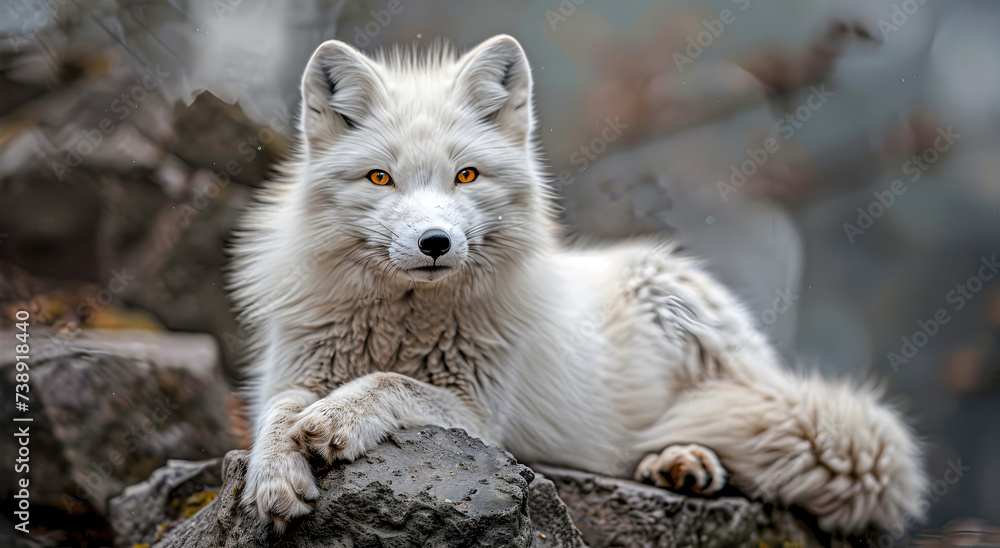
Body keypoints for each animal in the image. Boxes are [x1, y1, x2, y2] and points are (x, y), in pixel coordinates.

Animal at [229, 34, 928, 536]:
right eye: (381, 178)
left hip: (673, 305)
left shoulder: (478, 415)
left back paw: (683, 461)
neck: (402, 322)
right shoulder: (292, 371)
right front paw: (274, 480)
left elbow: (386, 383)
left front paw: (333, 420)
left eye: (466, 176)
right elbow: (276, 416)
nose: (435, 243)